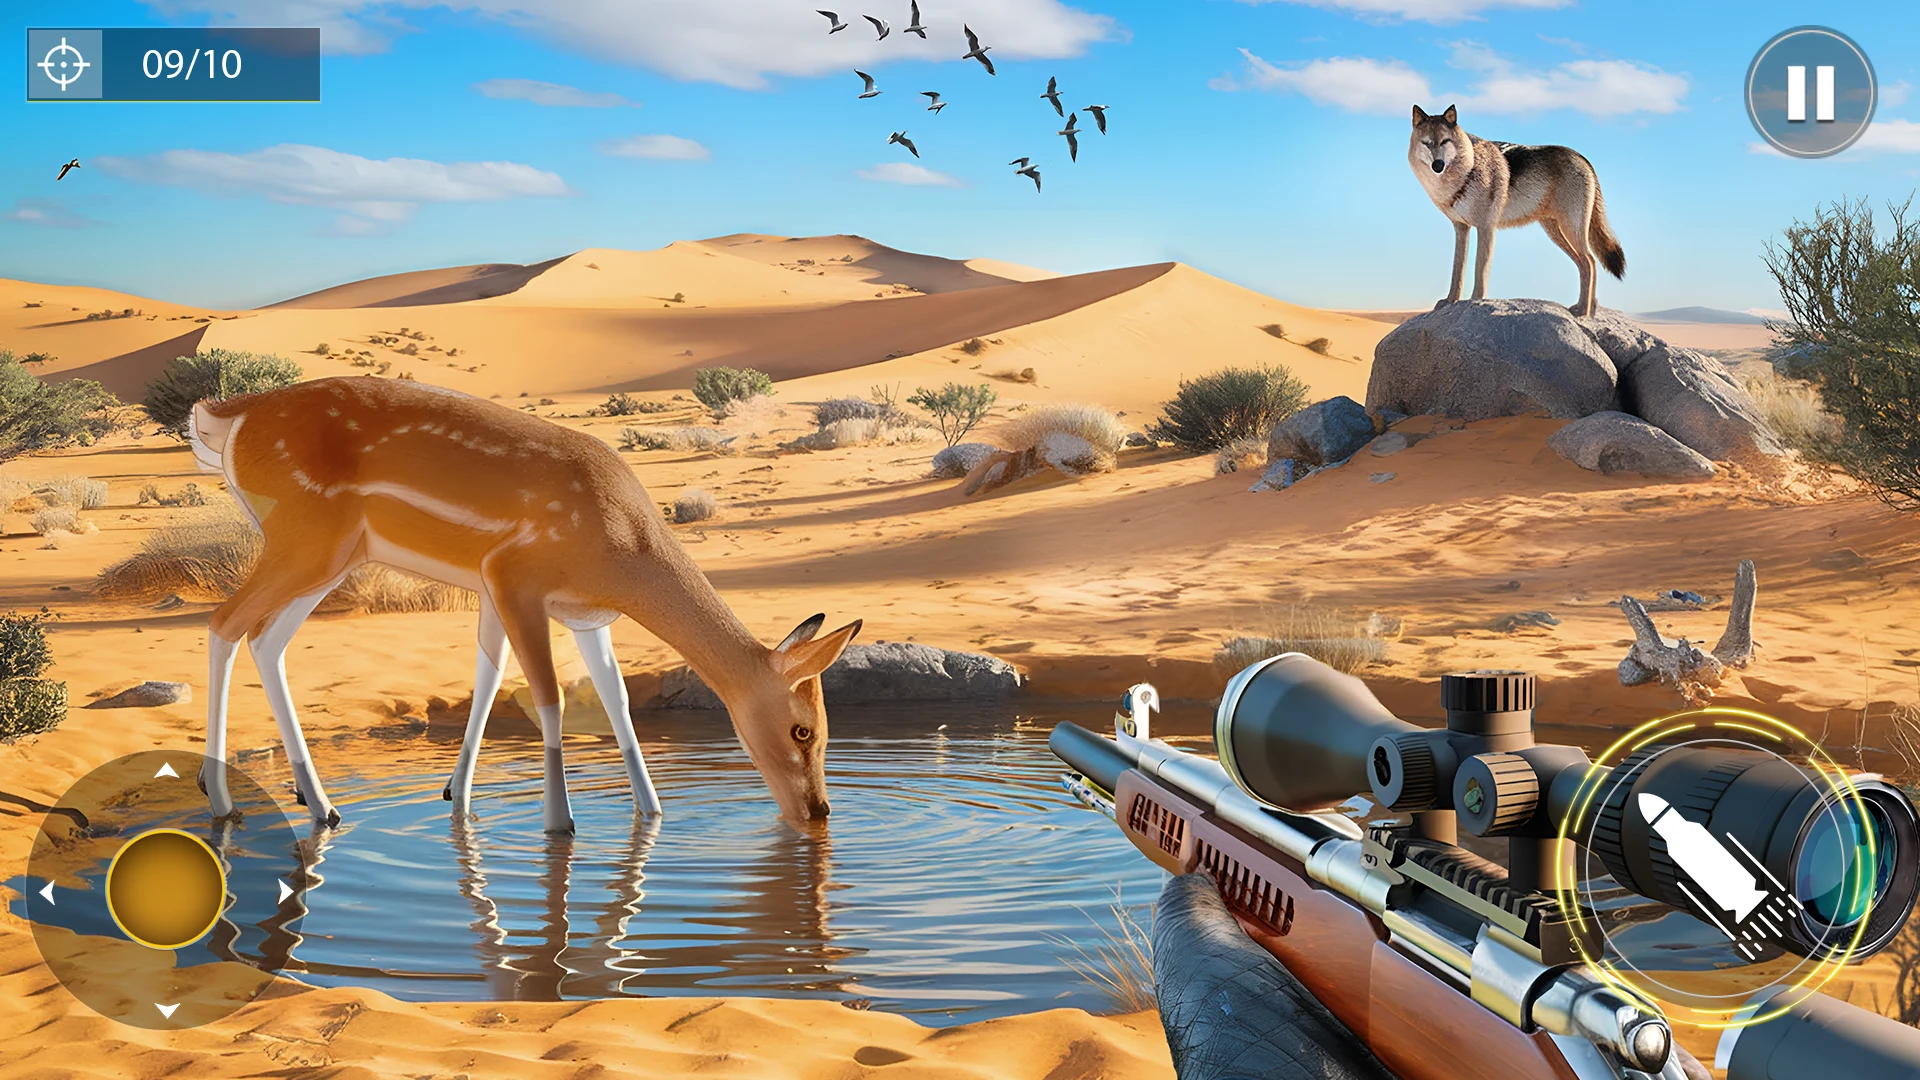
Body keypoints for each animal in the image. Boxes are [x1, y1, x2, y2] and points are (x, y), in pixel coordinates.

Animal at [186, 376, 861, 833]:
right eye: (802, 730)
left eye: (827, 729)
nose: (820, 811)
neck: (623, 553)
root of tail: (225, 416)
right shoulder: (513, 577)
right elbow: (548, 696)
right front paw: (559, 822)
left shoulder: (573, 612)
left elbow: (602, 698)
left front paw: (648, 810)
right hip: (307, 539)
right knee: (225, 622)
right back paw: (221, 799)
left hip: (332, 555)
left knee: (265, 638)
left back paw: (319, 804)